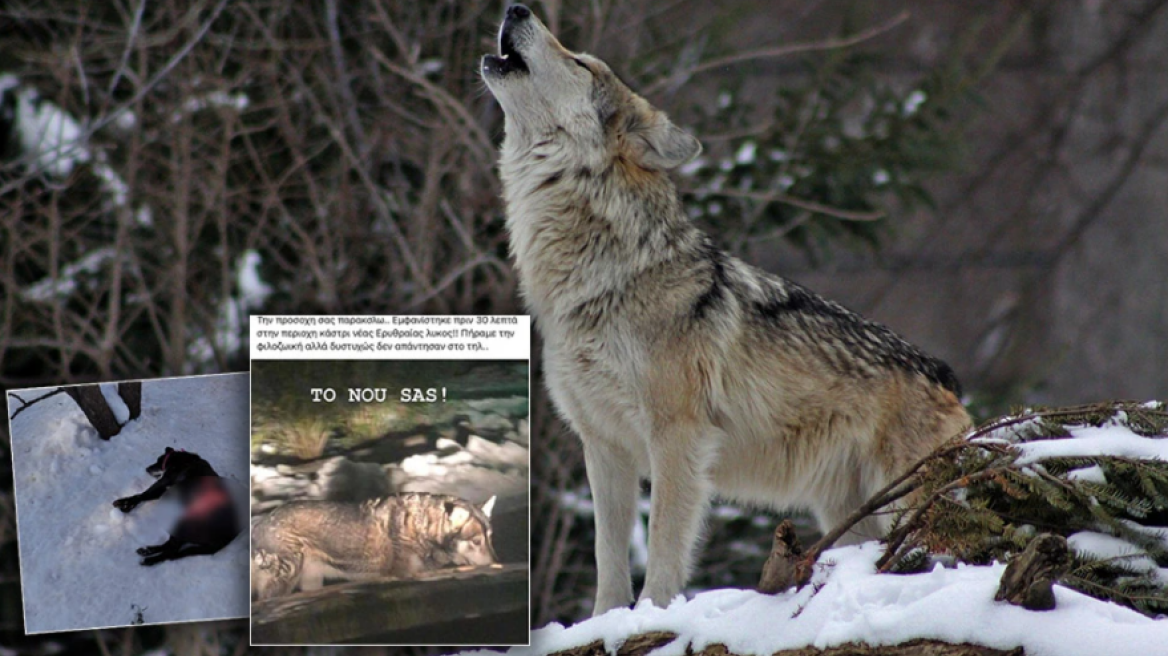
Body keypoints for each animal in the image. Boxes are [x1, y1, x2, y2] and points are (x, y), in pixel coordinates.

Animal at [252, 490, 497, 597]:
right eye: (476, 541)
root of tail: (261, 522)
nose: (497, 564)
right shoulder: (408, 575)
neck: (423, 528)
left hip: (311, 583)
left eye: (490, 538)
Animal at [478, 3, 971, 611]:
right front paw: (606, 620)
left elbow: (664, 546)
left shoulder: (678, 437)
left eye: (581, 63)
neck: (601, 279)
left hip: (904, 501)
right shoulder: (604, 445)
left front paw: (651, 615)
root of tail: (945, 375)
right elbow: (607, 557)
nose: (516, 8)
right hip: (850, 516)